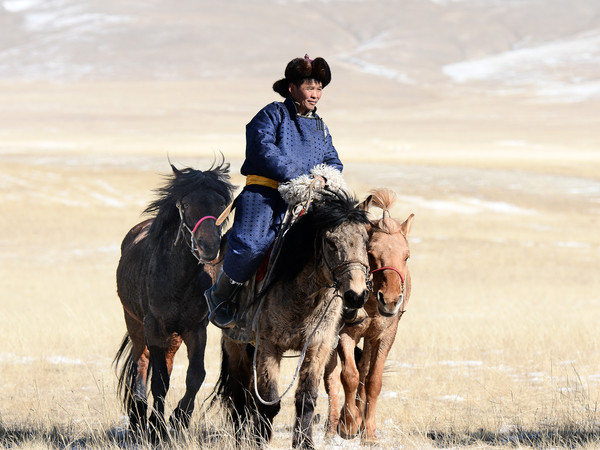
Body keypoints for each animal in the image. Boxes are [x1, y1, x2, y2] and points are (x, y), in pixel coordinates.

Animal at [112, 162, 234, 440]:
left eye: (222, 203)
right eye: (186, 204)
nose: (208, 246)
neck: (178, 278)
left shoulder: (196, 329)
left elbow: (195, 375)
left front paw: (178, 421)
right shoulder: (154, 327)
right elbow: (159, 381)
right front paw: (156, 428)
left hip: (173, 336)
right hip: (135, 324)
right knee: (141, 364)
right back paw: (137, 420)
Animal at [210, 188, 370, 448]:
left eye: (366, 240)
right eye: (330, 242)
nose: (356, 295)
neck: (303, 295)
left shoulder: (318, 346)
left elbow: (306, 399)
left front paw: (304, 442)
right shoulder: (268, 347)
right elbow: (269, 401)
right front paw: (259, 440)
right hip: (235, 343)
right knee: (239, 392)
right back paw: (241, 436)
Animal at [324, 188, 412, 444]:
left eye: (406, 256)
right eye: (371, 254)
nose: (390, 300)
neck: (371, 304)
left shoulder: (384, 336)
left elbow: (372, 381)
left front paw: (369, 432)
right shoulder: (345, 333)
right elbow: (349, 376)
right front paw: (348, 424)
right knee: (331, 379)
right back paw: (333, 426)